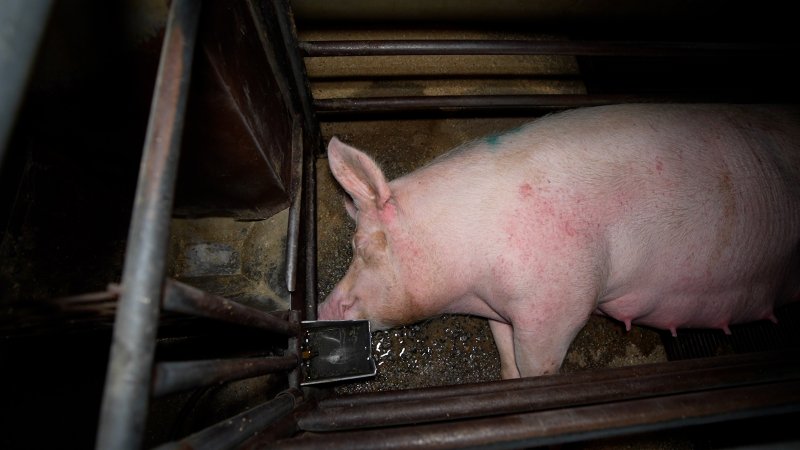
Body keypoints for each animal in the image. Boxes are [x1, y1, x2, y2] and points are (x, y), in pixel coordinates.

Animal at [318, 103, 800, 378]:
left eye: (362, 246)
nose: (323, 309)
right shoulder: (502, 312)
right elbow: (508, 360)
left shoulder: (560, 301)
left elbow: (539, 367)